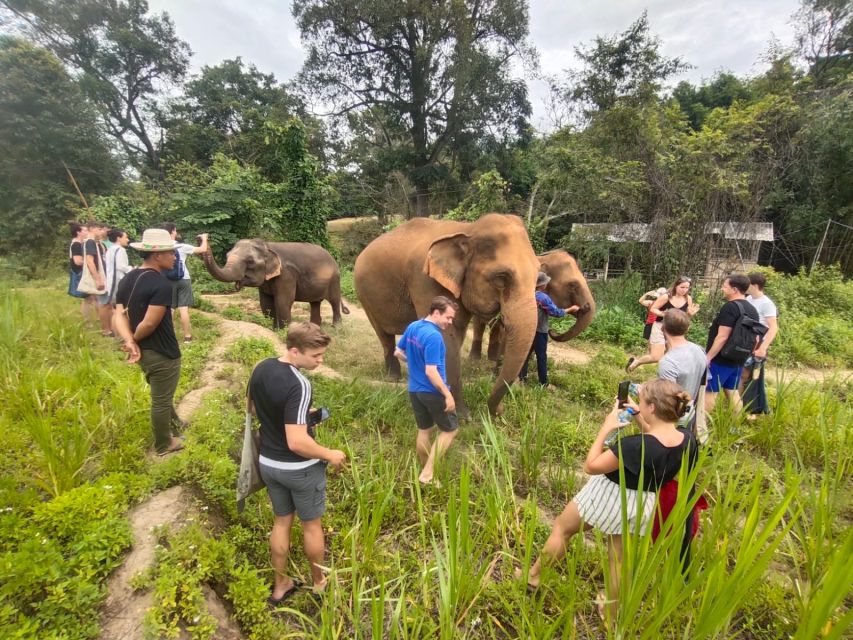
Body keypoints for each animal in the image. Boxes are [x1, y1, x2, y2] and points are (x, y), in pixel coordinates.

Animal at [201, 240, 348, 330]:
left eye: (250, 261)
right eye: (227, 256)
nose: (201, 237)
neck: (267, 246)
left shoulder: (286, 275)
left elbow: (283, 302)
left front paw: (285, 332)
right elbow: (266, 304)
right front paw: (274, 329)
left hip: (335, 280)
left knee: (334, 301)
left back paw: (336, 327)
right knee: (315, 303)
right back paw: (314, 327)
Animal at [352, 212, 540, 418]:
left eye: (538, 278)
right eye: (501, 277)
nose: (500, 410)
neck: (468, 229)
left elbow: (454, 338)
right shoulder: (425, 280)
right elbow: (445, 339)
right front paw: (461, 416)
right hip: (365, 295)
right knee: (383, 335)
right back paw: (393, 377)